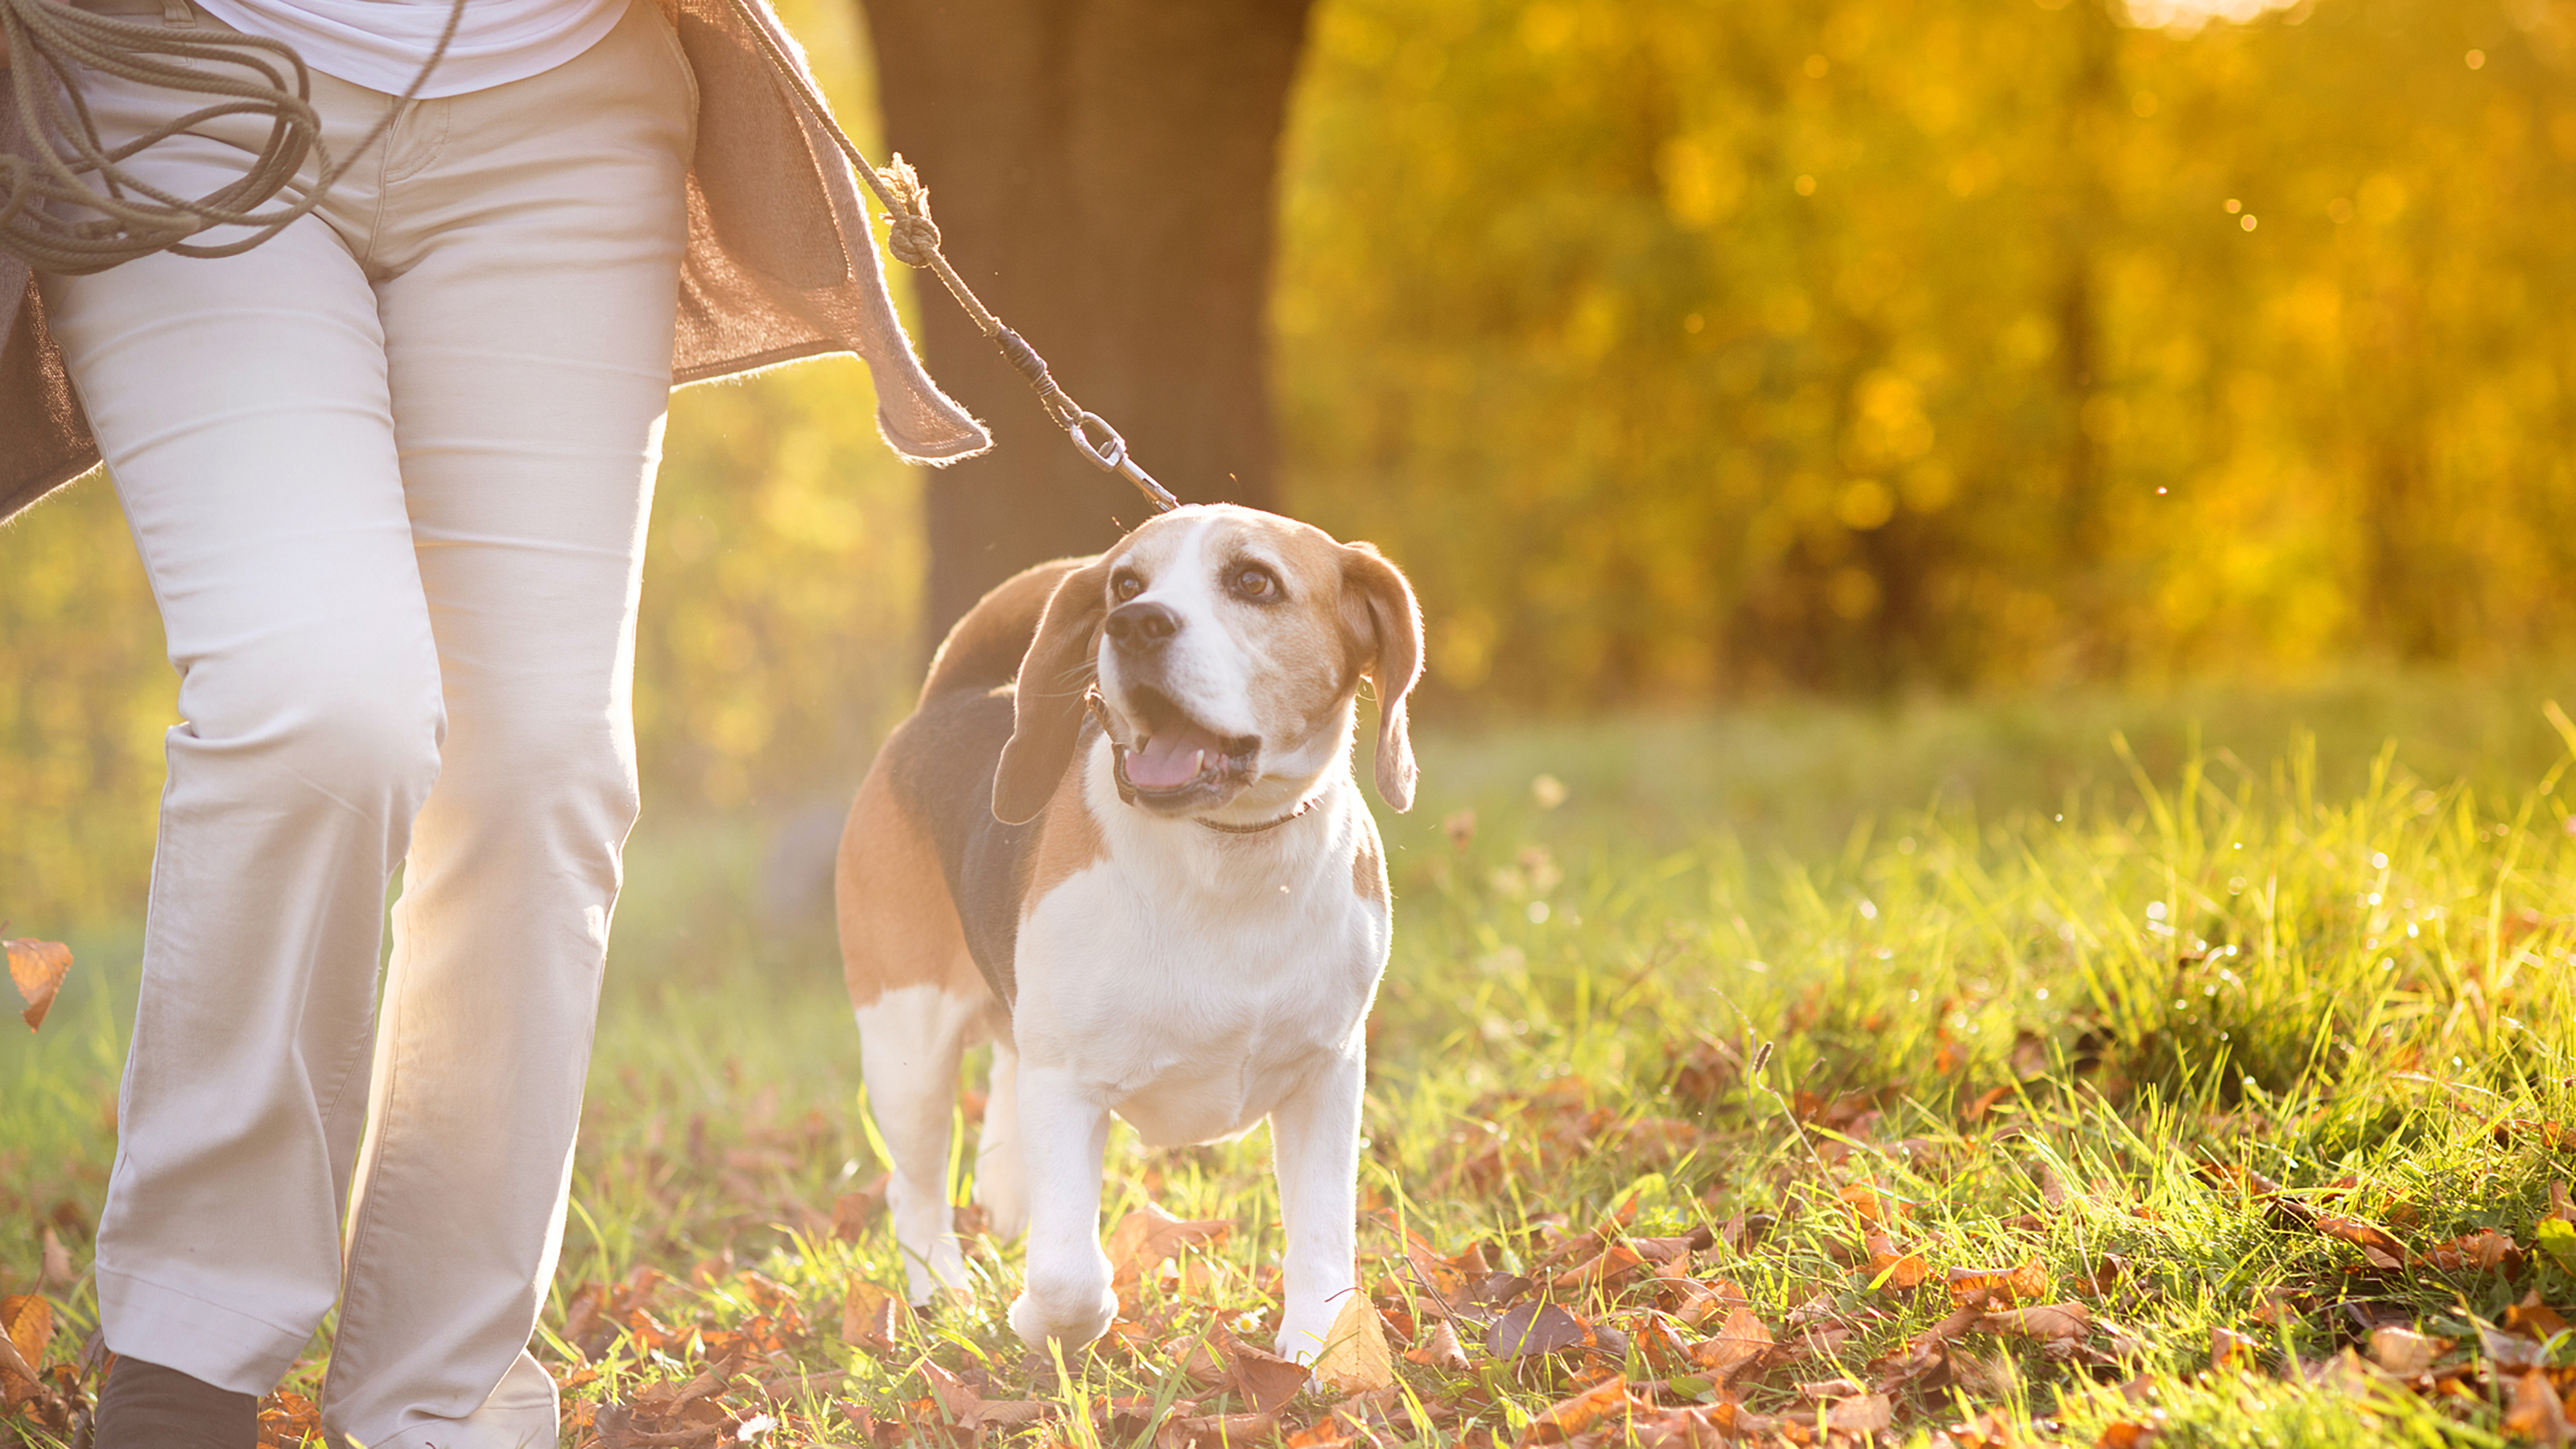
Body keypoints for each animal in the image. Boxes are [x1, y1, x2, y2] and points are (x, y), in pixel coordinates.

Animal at [834, 502, 1432, 1361]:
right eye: (1125, 583)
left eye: (1254, 581)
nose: (1134, 623)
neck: (1229, 855)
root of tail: (953, 698)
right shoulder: (1069, 1085)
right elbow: (1067, 1276)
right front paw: (1039, 1323)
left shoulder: (1327, 1072)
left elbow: (1323, 1237)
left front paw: (1319, 1350)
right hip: (904, 1047)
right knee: (914, 1195)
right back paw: (943, 1292)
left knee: (1006, 1069)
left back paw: (1005, 1188)